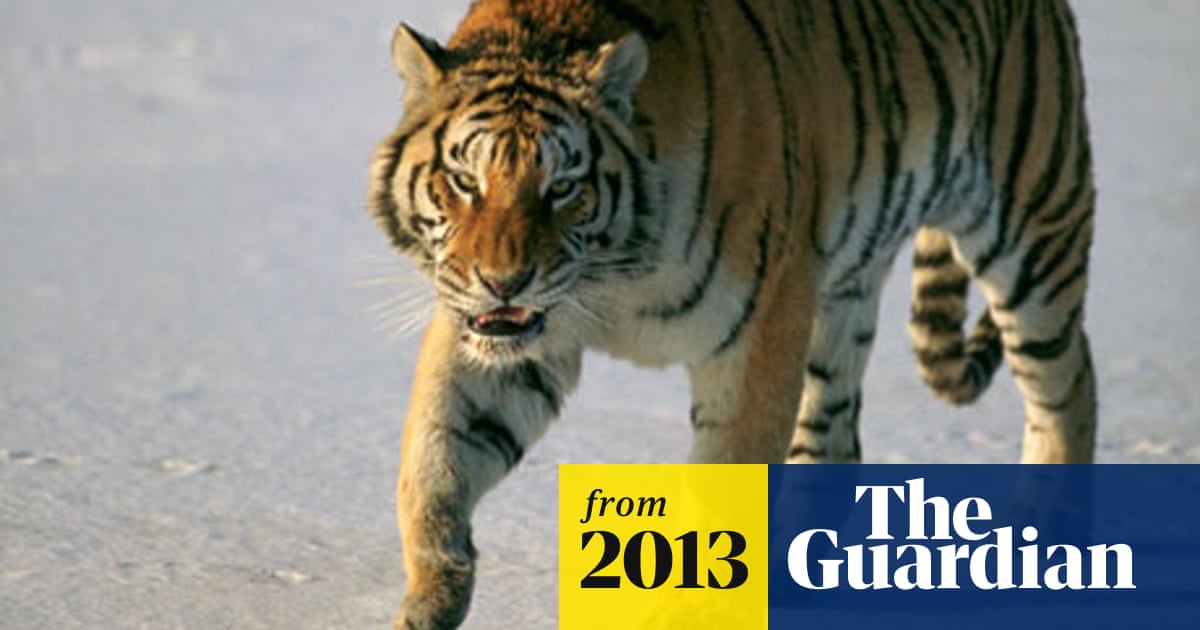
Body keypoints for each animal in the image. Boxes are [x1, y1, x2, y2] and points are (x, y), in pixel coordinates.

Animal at [367, 0, 1097, 626]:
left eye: (563, 188)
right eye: (465, 181)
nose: (505, 281)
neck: (612, 271)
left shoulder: (760, 328)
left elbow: (725, 498)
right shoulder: (501, 335)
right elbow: (436, 459)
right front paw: (434, 593)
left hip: (1031, 227)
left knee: (1069, 384)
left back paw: (1048, 536)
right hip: (839, 298)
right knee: (834, 436)